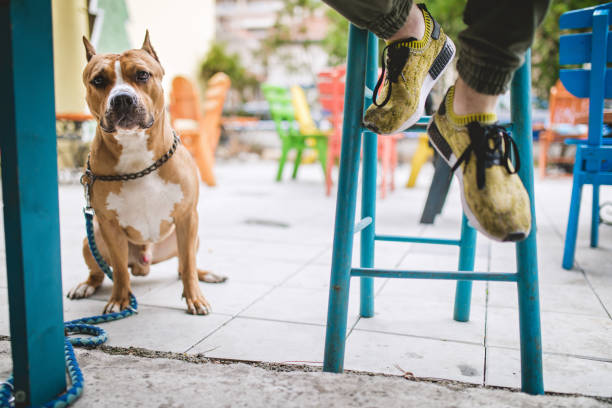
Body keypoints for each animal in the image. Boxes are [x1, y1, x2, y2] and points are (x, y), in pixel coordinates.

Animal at [68, 32, 225, 316]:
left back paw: (205, 274)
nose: (121, 98)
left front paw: (195, 298)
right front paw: (119, 300)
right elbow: (119, 270)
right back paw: (86, 286)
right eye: (98, 80)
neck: (135, 150)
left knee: (184, 264)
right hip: (91, 237)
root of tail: (144, 264)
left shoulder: (187, 216)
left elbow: (188, 264)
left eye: (142, 75)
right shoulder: (109, 225)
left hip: (189, 235)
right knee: (100, 271)